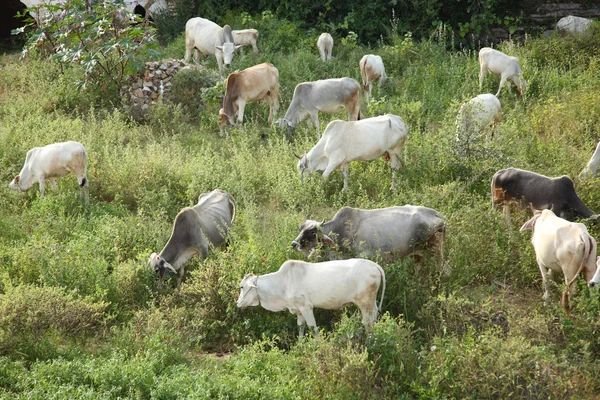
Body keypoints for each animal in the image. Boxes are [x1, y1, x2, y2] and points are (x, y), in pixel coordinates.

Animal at [234, 258, 384, 336]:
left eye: (241, 287)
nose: (238, 303)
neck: (284, 282)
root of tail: (374, 265)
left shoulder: (306, 308)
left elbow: (313, 328)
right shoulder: (298, 311)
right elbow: (301, 328)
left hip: (365, 303)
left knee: (368, 322)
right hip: (371, 303)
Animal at [290, 206, 446, 266]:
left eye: (312, 232)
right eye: (300, 228)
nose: (294, 244)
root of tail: (436, 213)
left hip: (435, 255)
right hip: (418, 257)